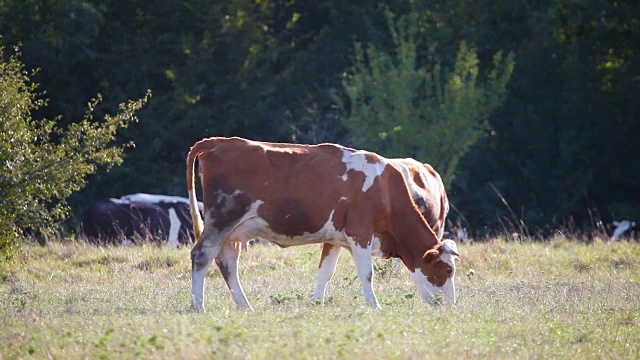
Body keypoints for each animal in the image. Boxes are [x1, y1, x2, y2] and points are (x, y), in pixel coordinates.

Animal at [186, 136, 460, 310]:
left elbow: (325, 271)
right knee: (202, 256)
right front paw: (374, 305)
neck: (385, 189)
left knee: (227, 262)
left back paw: (244, 305)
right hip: (222, 218)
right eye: (448, 270)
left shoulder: (335, 237)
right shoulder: (360, 232)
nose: (450, 306)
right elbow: (366, 272)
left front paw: (316, 302)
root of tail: (217, 141)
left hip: (232, 231)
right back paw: (198, 305)